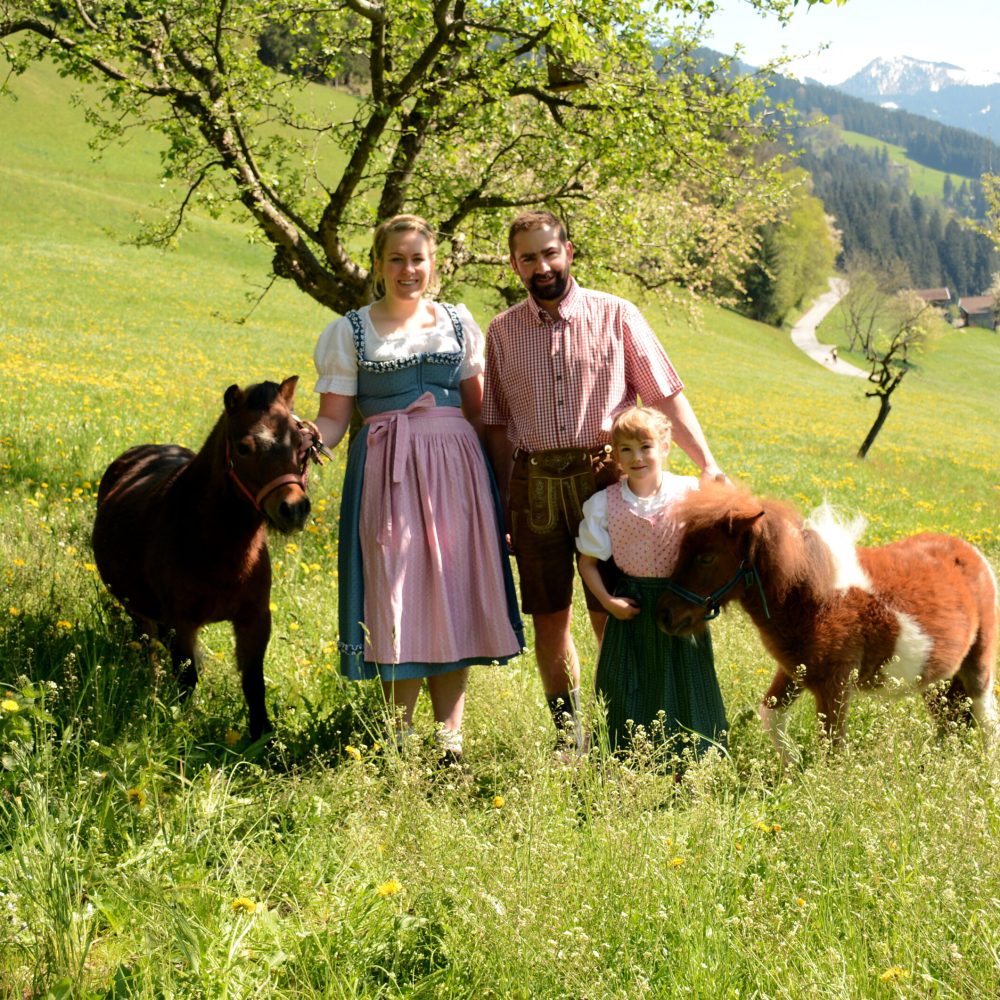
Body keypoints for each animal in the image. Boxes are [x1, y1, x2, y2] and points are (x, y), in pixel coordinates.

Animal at [94, 378, 312, 740]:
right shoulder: (181, 623)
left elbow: (253, 682)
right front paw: (183, 728)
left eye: (300, 443)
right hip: (137, 608)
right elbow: (187, 680)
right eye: (243, 448)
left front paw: (263, 738)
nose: (294, 509)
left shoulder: (255, 619)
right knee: (150, 649)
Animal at [656, 486, 1000, 764]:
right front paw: (792, 768)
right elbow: (771, 715)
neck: (814, 597)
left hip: (977, 664)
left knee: (986, 717)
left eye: (707, 558)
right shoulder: (795, 671)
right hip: (937, 678)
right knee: (949, 719)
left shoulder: (835, 683)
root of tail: (973, 554)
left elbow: (833, 745)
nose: (665, 616)